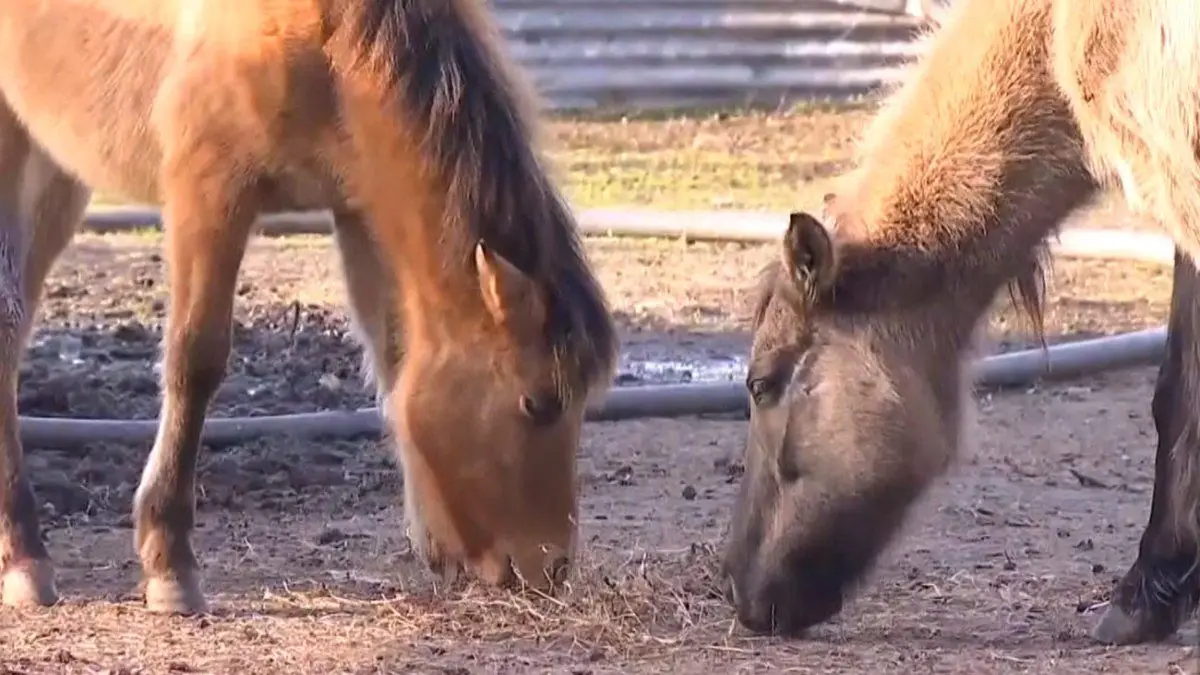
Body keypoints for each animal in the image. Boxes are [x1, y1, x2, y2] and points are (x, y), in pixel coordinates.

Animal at [0, 0, 619, 615]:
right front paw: (170, 562)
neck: (328, 34)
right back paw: (25, 556)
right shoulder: (209, 193)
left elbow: (395, 364)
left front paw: (434, 547)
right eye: (536, 404)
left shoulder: (357, 209)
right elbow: (195, 363)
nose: (552, 568)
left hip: (56, 165)